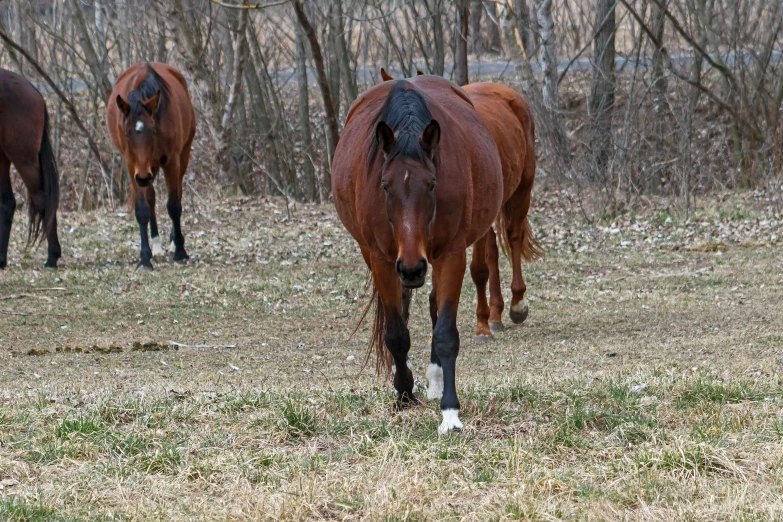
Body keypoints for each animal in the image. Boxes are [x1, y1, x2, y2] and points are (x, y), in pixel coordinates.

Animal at [105, 62, 196, 268]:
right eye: (127, 133)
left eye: (152, 130)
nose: (143, 176)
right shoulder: (133, 166)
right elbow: (142, 208)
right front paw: (145, 258)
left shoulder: (172, 162)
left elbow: (174, 206)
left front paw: (181, 252)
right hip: (147, 169)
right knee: (151, 198)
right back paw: (156, 245)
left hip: (180, 158)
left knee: (177, 193)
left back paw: (173, 242)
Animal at [330, 75, 502, 432]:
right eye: (384, 185)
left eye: (432, 183)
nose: (411, 269)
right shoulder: (382, 260)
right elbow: (396, 333)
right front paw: (404, 394)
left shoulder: (451, 255)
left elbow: (446, 333)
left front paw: (450, 413)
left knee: (435, 307)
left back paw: (435, 381)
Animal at [462, 82, 544, 338]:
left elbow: (479, 268)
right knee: (493, 251)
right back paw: (495, 314)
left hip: (523, 190)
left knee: (514, 236)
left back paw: (517, 304)